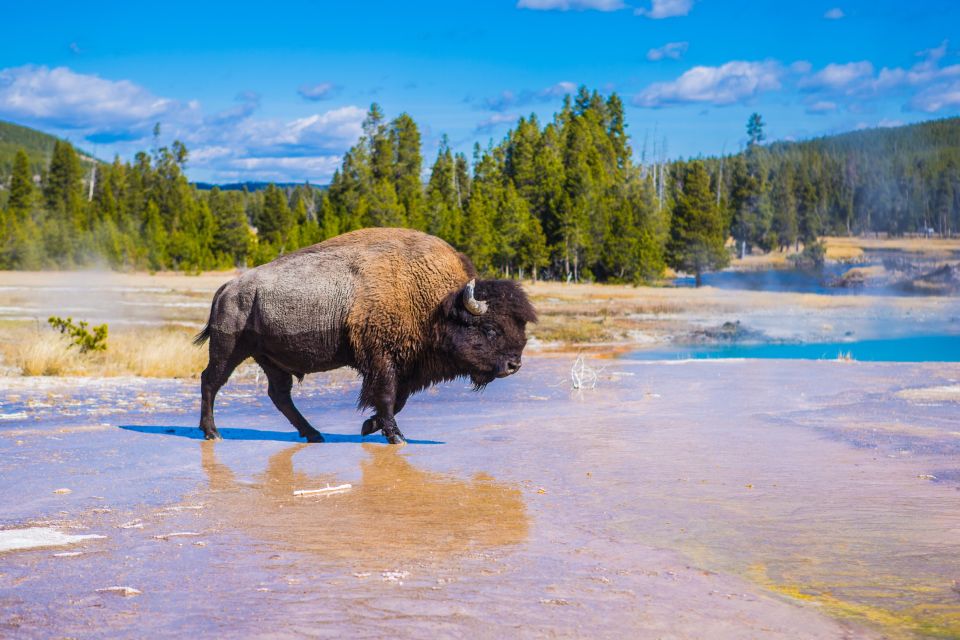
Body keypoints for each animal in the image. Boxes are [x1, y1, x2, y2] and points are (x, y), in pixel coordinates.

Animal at [193, 228, 540, 442]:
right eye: (490, 328)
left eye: (520, 327)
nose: (514, 365)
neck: (434, 303)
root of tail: (229, 288)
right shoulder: (382, 360)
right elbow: (386, 397)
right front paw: (395, 436)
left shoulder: (405, 366)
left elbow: (397, 401)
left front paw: (368, 426)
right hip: (229, 347)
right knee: (211, 381)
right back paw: (212, 432)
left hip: (271, 360)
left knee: (279, 394)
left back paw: (313, 434)